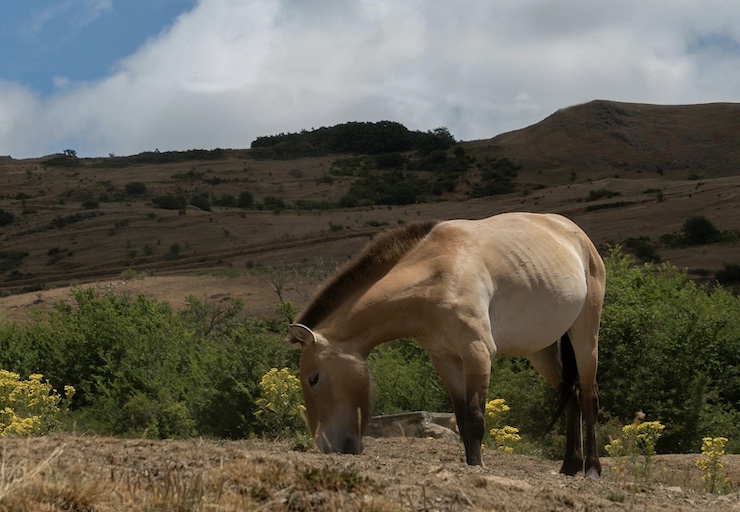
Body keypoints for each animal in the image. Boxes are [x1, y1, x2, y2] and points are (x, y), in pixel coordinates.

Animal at [286, 211, 604, 476]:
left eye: (313, 379)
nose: (326, 445)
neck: (436, 276)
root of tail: (577, 236)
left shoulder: (477, 352)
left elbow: (475, 417)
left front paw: (478, 466)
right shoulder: (445, 359)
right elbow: (461, 419)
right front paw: (470, 463)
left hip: (585, 338)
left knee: (588, 397)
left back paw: (592, 469)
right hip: (541, 351)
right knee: (571, 395)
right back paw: (569, 466)